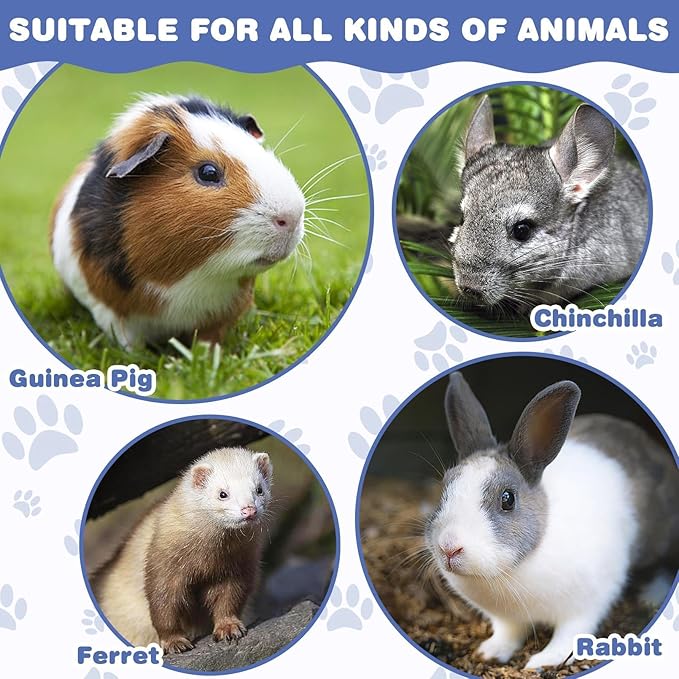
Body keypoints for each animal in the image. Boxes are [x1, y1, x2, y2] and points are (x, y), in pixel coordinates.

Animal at [50, 94, 305, 349]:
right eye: (208, 173)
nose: (292, 217)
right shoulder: (109, 311)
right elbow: (128, 340)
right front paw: (136, 355)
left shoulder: (222, 312)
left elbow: (209, 338)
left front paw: (208, 354)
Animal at [91, 447, 273, 653]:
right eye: (222, 493)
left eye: (259, 489)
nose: (248, 510)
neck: (209, 560)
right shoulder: (164, 566)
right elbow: (163, 606)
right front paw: (174, 642)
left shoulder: (238, 568)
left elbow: (229, 600)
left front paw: (229, 627)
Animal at [425, 371, 678, 669]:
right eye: (445, 486)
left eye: (507, 499)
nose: (448, 547)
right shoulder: (507, 620)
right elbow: (508, 633)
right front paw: (488, 653)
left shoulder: (588, 604)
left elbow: (569, 635)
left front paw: (542, 662)